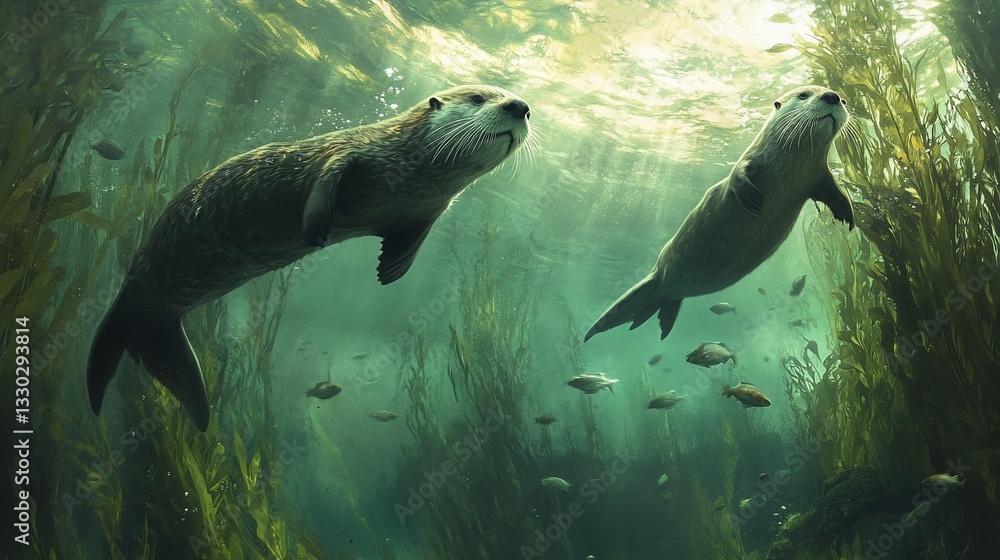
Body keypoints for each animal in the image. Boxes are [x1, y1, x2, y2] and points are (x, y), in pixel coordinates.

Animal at [88, 85, 531, 430]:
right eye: (478, 97)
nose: (521, 106)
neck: (408, 167)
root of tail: (138, 310)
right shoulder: (349, 151)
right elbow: (325, 177)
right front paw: (317, 229)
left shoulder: (429, 209)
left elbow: (408, 244)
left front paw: (389, 270)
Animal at [585, 86, 853, 342]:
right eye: (804, 95)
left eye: (844, 100)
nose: (833, 96)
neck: (788, 167)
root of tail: (660, 282)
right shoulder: (750, 160)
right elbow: (737, 177)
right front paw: (754, 200)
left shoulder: (817, 175)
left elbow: (838, 194)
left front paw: (848, 217)